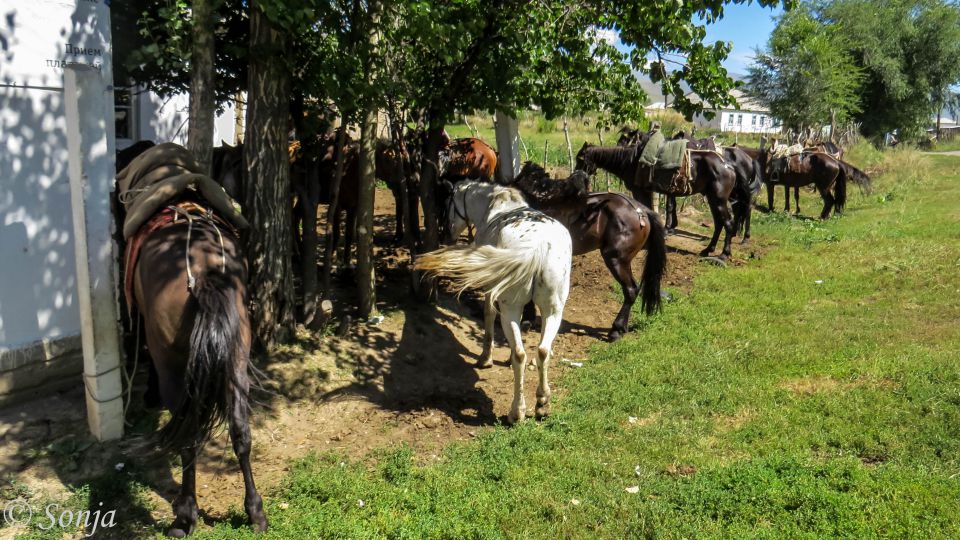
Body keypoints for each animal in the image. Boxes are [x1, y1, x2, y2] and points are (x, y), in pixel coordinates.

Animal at [122, 144, 270, 536]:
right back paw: (255, 512)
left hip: (176, 369)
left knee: (187, 438)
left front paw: (148, 394)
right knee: (241, 431)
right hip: (237, 359)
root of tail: (202, 274)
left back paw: (185, 515)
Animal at [414, 179, 568, 424]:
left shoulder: (489, 289)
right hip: (553, 311)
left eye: (447, 204)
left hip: (510, 309)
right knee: (543, 351)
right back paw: (542, 404)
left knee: (520, 354)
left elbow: (488, 315)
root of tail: (537, 247)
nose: (446, 233)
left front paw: (485, 358)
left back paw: (517, 411)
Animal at [572, 137, 740, 260]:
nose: (575, 176)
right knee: (719, 223)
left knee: (728, 223)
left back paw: (724, 254)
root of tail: (728, 166)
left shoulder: (640, 191)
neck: (630, 161)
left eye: (580, 158)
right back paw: (707, 250)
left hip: (718, 200)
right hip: (713, 199)